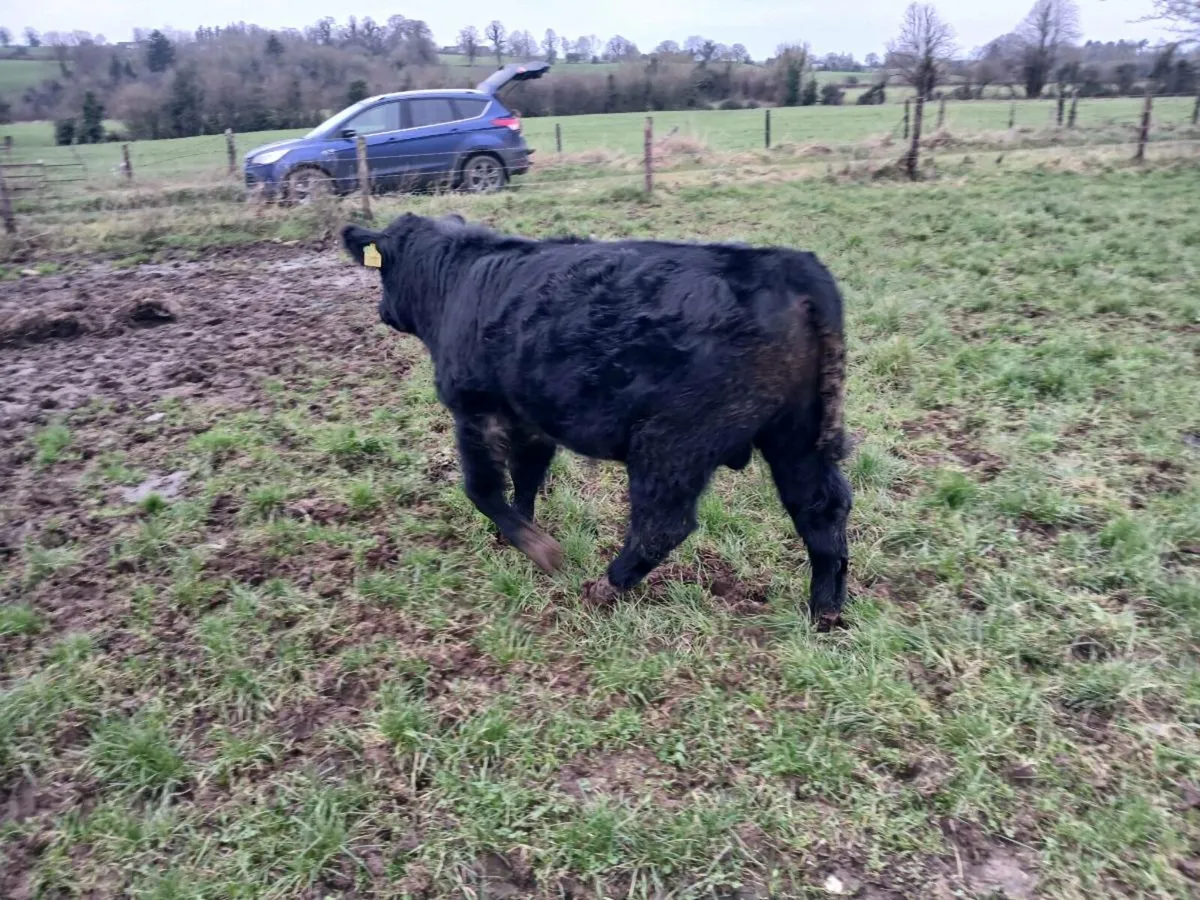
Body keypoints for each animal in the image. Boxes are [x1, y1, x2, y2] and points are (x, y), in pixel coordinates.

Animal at [342, 213, 852, 628]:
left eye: (383, 272)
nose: (382, 311)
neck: (460, 279)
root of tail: (785, 265)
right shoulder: (530, 418)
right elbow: (525, 480)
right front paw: (518, 534)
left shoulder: (475, 410)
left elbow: (482, 489)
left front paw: (542, 551)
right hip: (796, 434)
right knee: (821, 507)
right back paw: (825, 609)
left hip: (673, 442)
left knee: (662, 524)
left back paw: (605, 587)